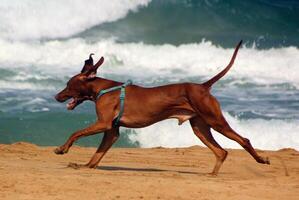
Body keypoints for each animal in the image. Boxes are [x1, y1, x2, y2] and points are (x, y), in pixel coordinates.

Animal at [55, 41, 270, 175]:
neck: (102, 88)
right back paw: (212, 174)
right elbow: (97, 156)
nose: (56, 97)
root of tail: (202, 86)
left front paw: (63, 149)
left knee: (243, 140)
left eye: (68, 85)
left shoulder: (103, 123)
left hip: (215, 121)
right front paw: (84, 166)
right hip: (200, 127)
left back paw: (261, 160)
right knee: (221, 152)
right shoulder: (112, 131)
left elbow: (76, 133)